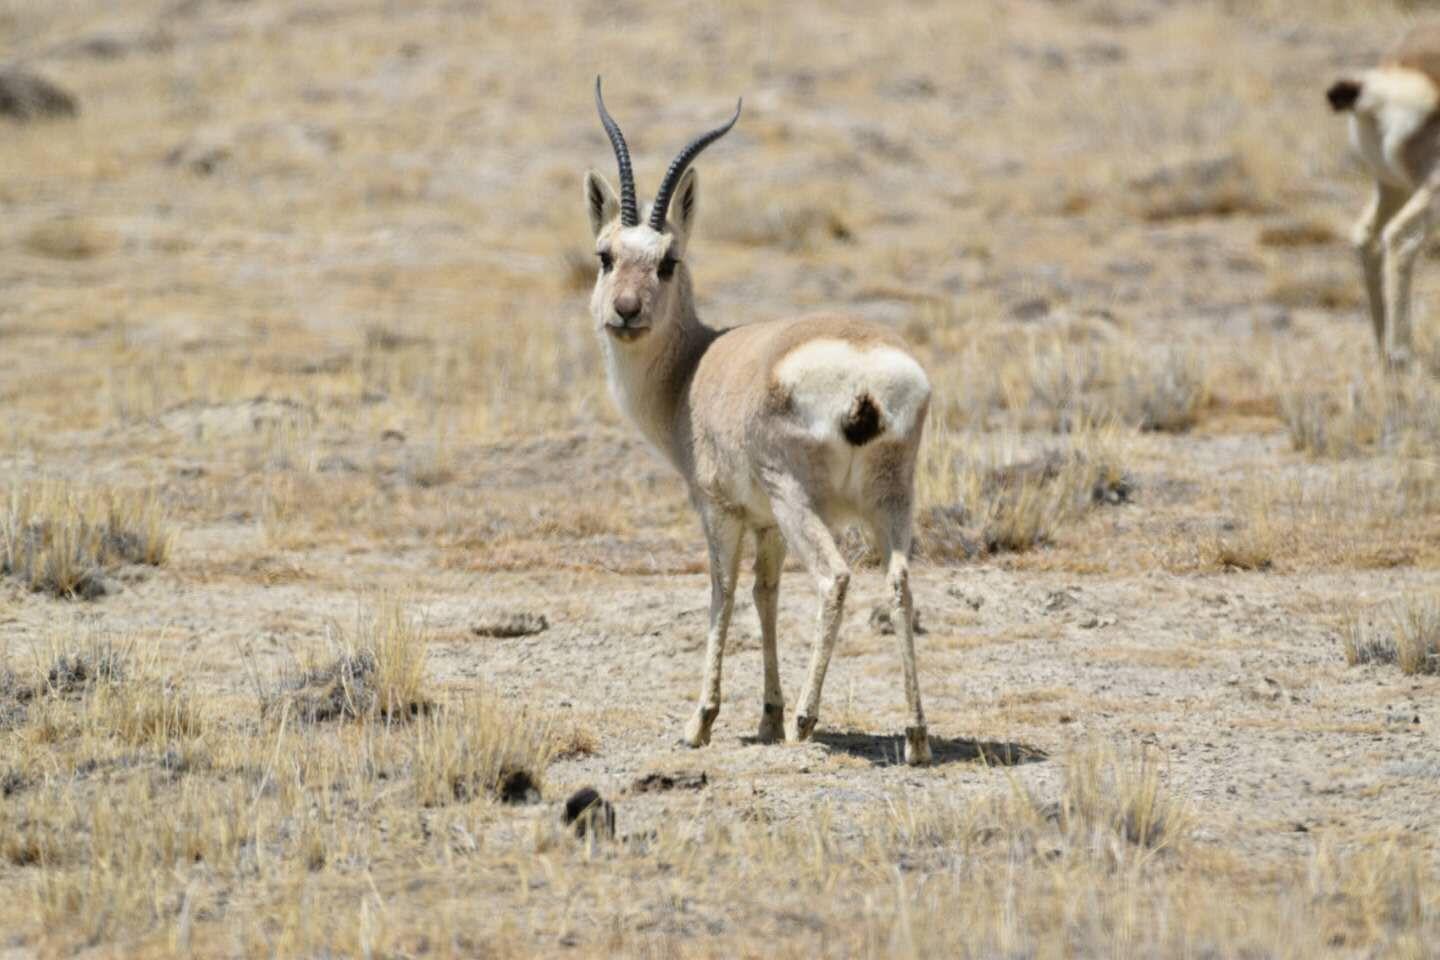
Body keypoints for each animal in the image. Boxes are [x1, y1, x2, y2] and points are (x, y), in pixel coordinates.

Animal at [584, 79, 933, 765]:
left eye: (668, 260)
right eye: (606, 255)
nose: (626, 312)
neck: (693, 368)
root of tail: (866, 375)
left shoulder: (721, 510)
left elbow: (721, 595)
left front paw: (701, 722)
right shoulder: (766, 523)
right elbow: (764, 596)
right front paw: (766, 716)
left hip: (804, 502)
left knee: (835, 578)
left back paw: (807, 720)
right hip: (891, 500)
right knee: (900, 583)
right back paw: (914, 736)